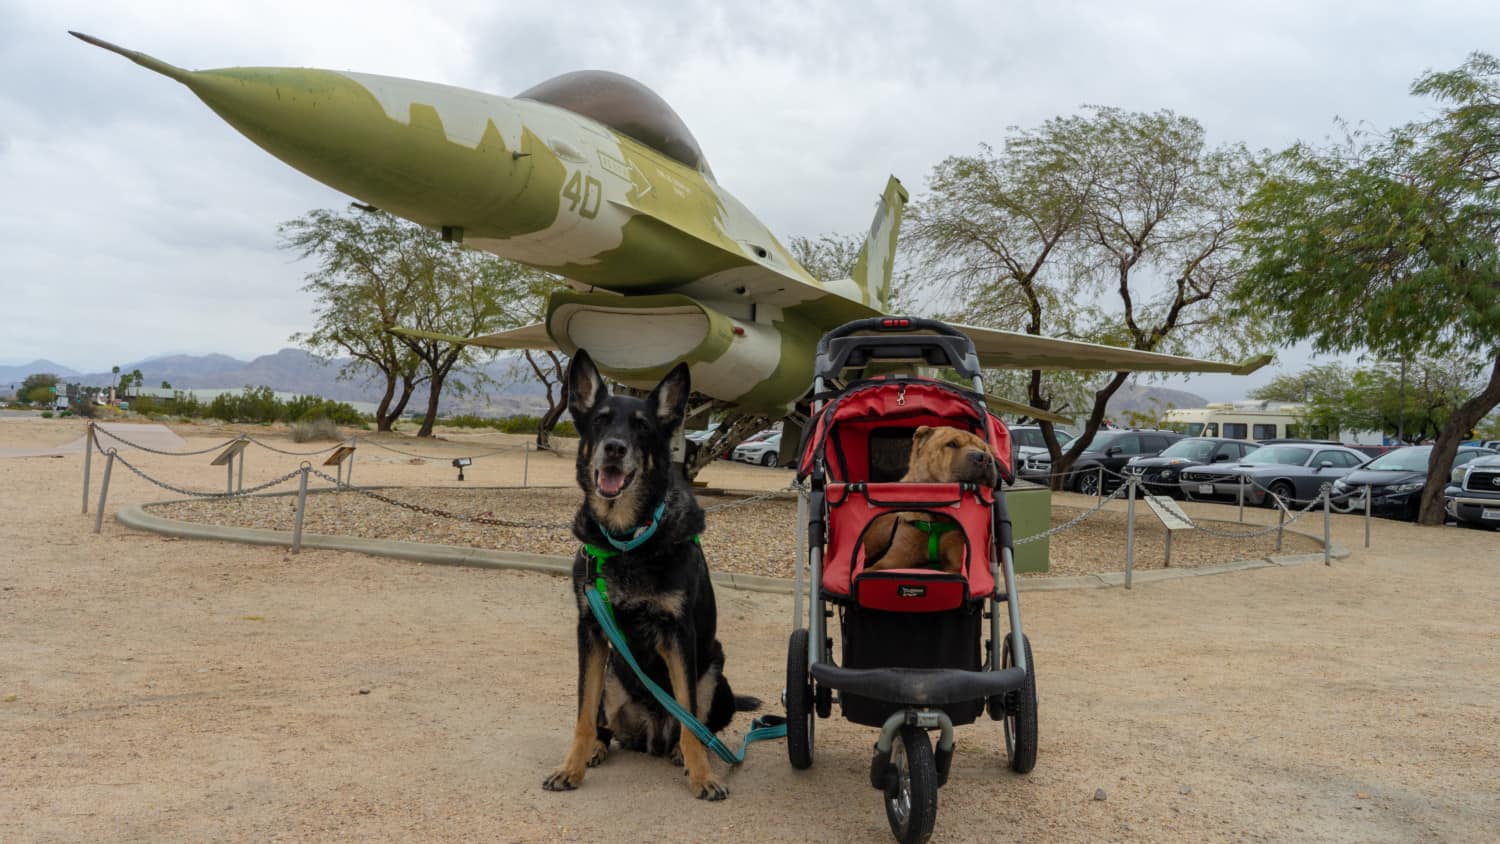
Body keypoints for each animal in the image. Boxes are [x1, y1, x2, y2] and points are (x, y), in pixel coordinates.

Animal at [543, 350, 756, 797]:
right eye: (600, 420)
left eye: (642, 426)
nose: (614, 448)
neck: (629, 540)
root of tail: (652, 732)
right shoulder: (590, 632)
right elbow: (582, 716)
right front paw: (571, 767)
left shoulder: (678, 635)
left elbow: (691, 721)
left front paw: (702, 776)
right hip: (610, 674)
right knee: (605, 726)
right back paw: (598, 748)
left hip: (716, 672)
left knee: (697, 726)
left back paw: (683, 754)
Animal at [864, 428, 1002, 575]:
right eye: (952, 444)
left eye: (985, 449)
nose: (985, 458)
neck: (937, 521)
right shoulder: (893, 559)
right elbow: (872, 568)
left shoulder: (956, 565)